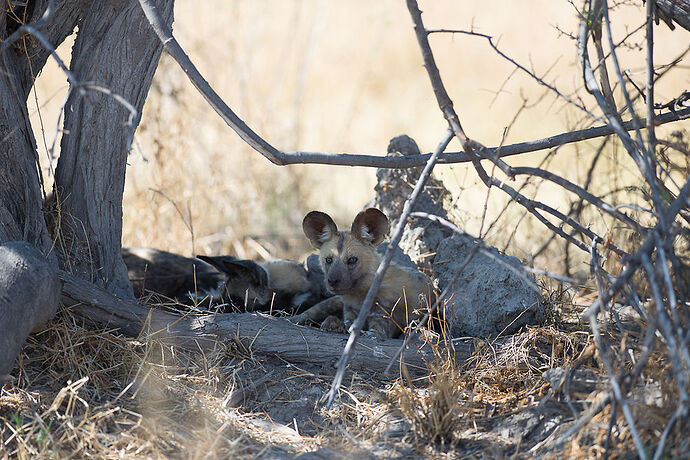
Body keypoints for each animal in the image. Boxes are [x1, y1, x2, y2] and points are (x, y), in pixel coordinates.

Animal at [300, 208, 430, 338]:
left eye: (352, 259)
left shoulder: (378, 330)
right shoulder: (349, 311)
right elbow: (346, 322)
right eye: (328, 260)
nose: (332, 281)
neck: (359, 296)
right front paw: (333, 323)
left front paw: (335, 324)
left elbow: (358, 329)